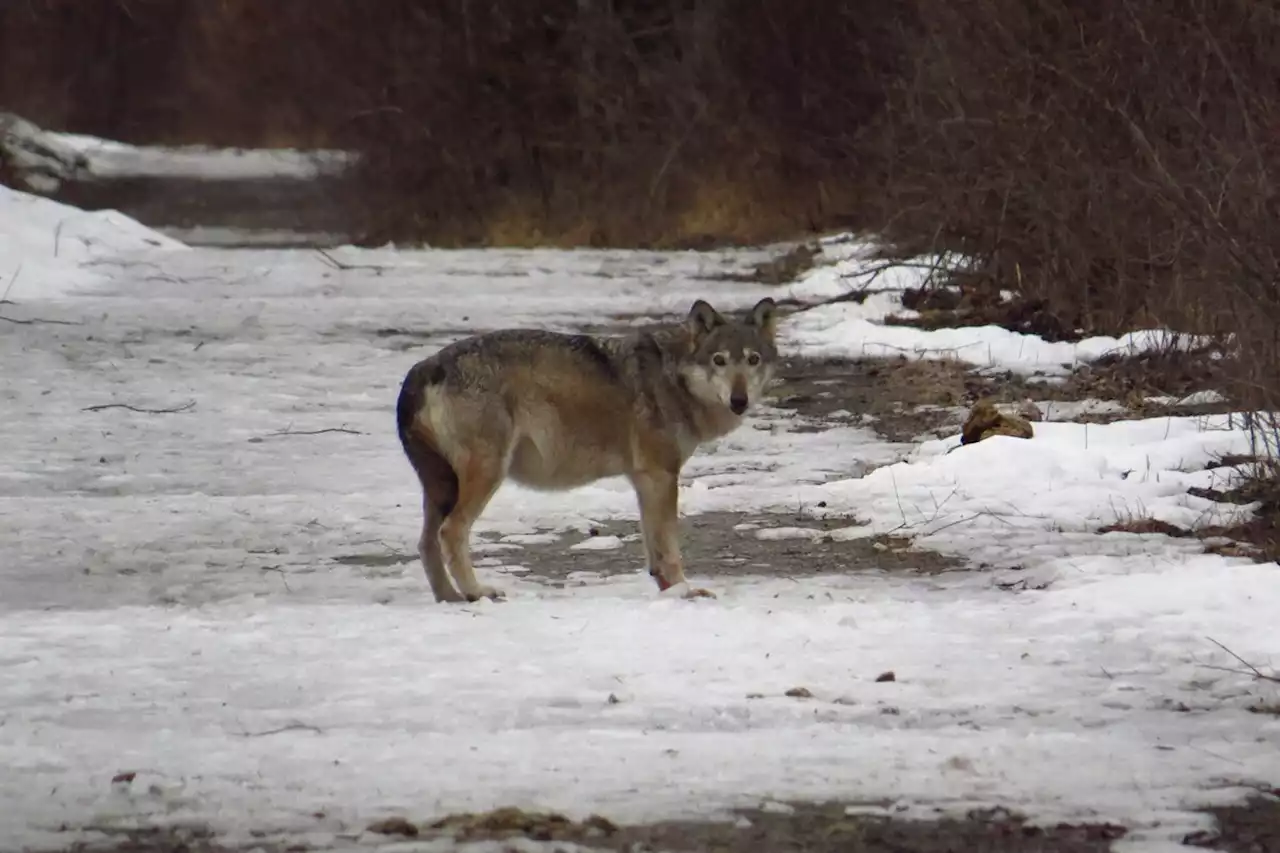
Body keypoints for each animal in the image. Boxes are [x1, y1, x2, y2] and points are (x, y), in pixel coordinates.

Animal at [394, 295, 778, 601]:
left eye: (753, 360)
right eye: (719, 361)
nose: (739, 400)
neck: (673, 379)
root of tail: (424, 367)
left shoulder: (645, 479)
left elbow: (655, 550)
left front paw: (670, 592)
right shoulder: (661, 475)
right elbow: (669, 546)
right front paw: (685, 592)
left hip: (442, 487)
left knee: (426, 543)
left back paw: (449, 598)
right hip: (486, 475)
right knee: (451, 532)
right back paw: (476, 592)